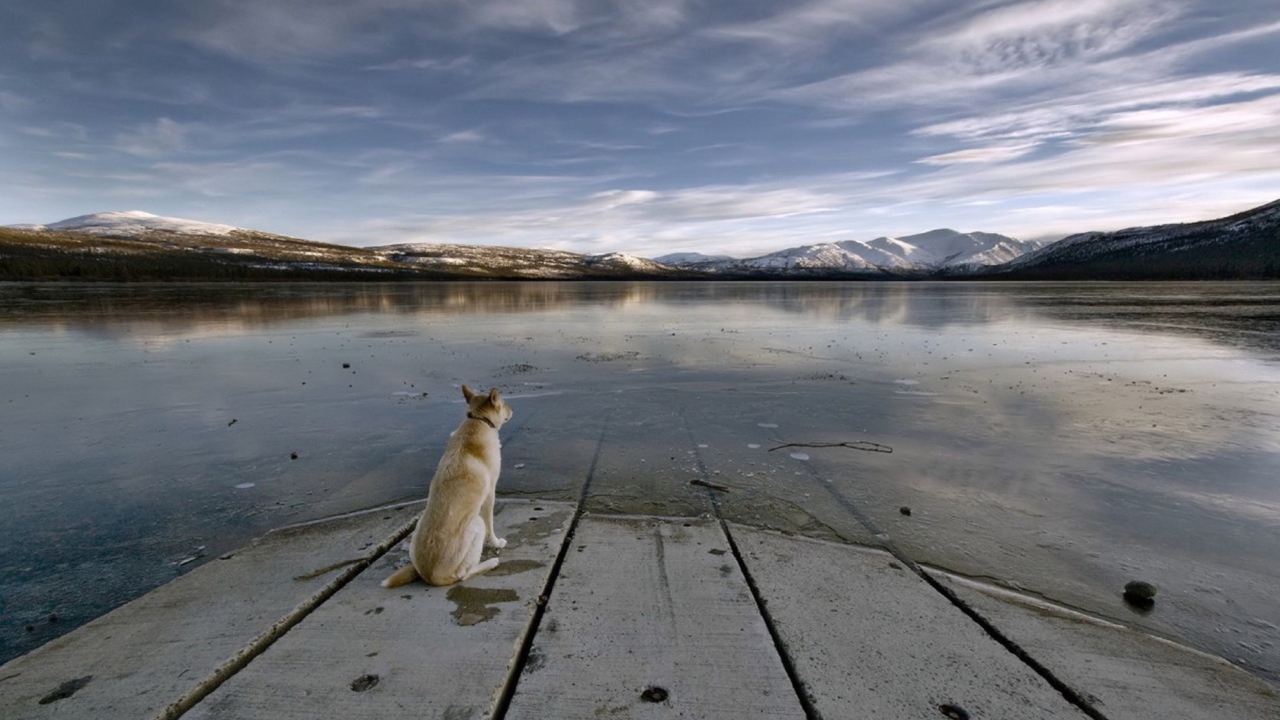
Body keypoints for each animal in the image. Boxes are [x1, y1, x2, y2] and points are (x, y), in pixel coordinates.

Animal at [381, 384, 512, 586]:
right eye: (503, 404)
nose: (512, 410)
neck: (478, 421)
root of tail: (430, 576)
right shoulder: (490, 494)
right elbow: (491, 526)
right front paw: (496, 543)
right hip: (476, 523)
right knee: (463, 574)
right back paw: (490, 563)